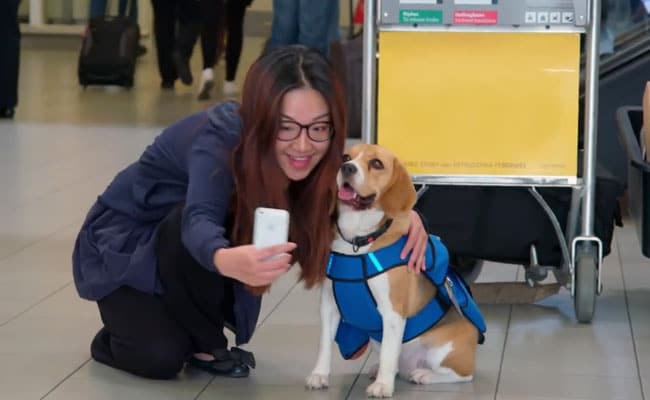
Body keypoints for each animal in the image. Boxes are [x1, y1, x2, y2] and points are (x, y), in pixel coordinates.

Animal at [304, 144, 480, 396]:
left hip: (443, 349)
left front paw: (383, 387)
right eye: (346, 157)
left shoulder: (392, 312)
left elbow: (389, 353)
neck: (358, 242)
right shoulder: (328, 306)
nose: (347, 168)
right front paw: (319, 374)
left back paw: (424, 375)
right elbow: (324, 345)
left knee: (462, 375)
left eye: (376, 163)